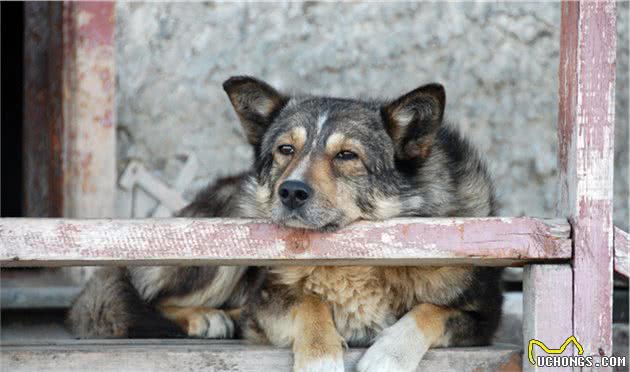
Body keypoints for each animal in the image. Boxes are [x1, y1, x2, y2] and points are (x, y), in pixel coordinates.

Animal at [69, 76, 504, 372]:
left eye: (347, 156)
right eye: (286, 149)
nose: (291, 191)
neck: (355, 257)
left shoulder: (484, 317)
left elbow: (430, 311)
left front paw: (388, 356)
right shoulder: (266, 297)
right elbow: (309, 303)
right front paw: (320, 359)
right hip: (226, 238)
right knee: (149, 298)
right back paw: (206, 317)